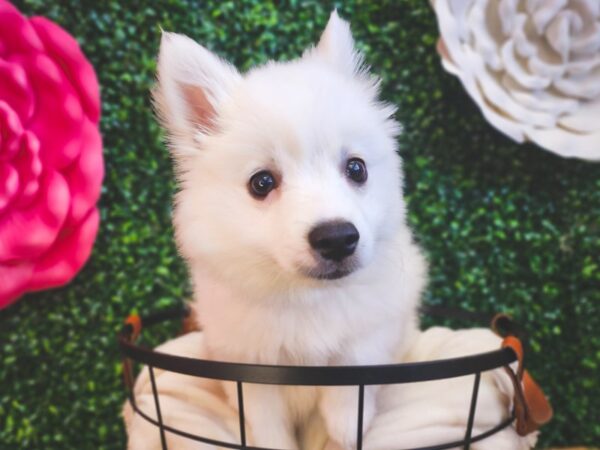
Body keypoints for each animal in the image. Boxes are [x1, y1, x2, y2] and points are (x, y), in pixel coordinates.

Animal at [155, 10, 426, 450]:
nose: (337, 238)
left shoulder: (378, 323)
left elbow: (352, 374)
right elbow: (269, 429)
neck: (306, 297)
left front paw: (344, 428)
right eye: (262, 183)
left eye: (357, 169)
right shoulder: (248, 370)